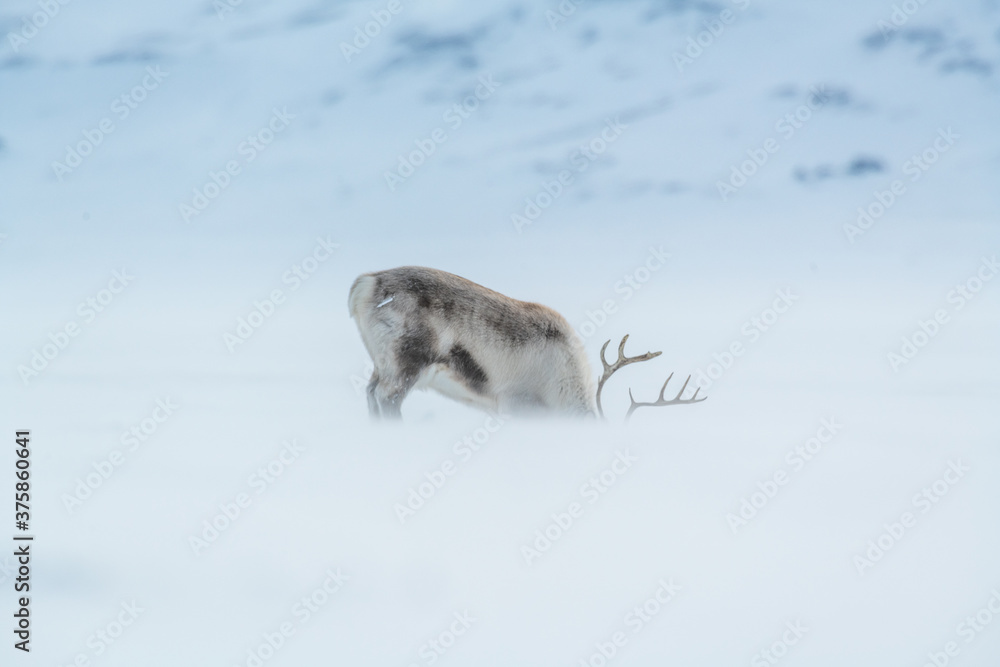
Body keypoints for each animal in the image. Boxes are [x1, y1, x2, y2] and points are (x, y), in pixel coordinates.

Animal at [348, 266, 705, 420]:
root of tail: (367, 283)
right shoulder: (518, 407)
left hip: (382, 364)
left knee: (369, 394)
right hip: (405, 363)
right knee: (386, 399)